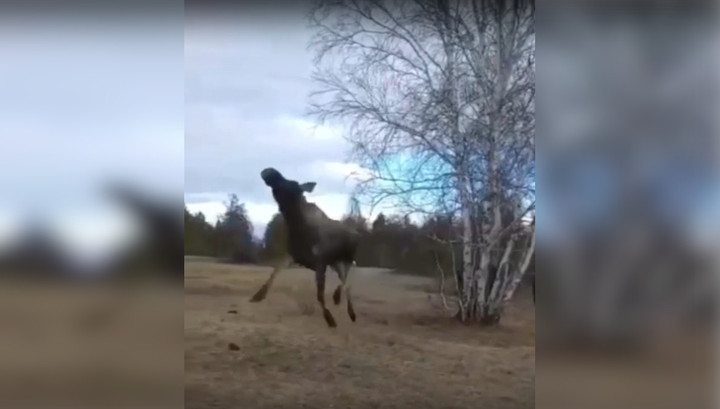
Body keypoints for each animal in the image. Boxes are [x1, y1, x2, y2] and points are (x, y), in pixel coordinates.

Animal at [249, 167, 360, 326]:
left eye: (292, 184)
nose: (269, 171)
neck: (299, 232)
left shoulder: (320, 262)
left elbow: (319, 294)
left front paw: (329, 318)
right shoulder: (294, 256)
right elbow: (274, 272)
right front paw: (258, 295)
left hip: (346, 260)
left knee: (347, 283)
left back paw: (348, 310)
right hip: (336, 262)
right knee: (344, 283)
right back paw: (338, 299)